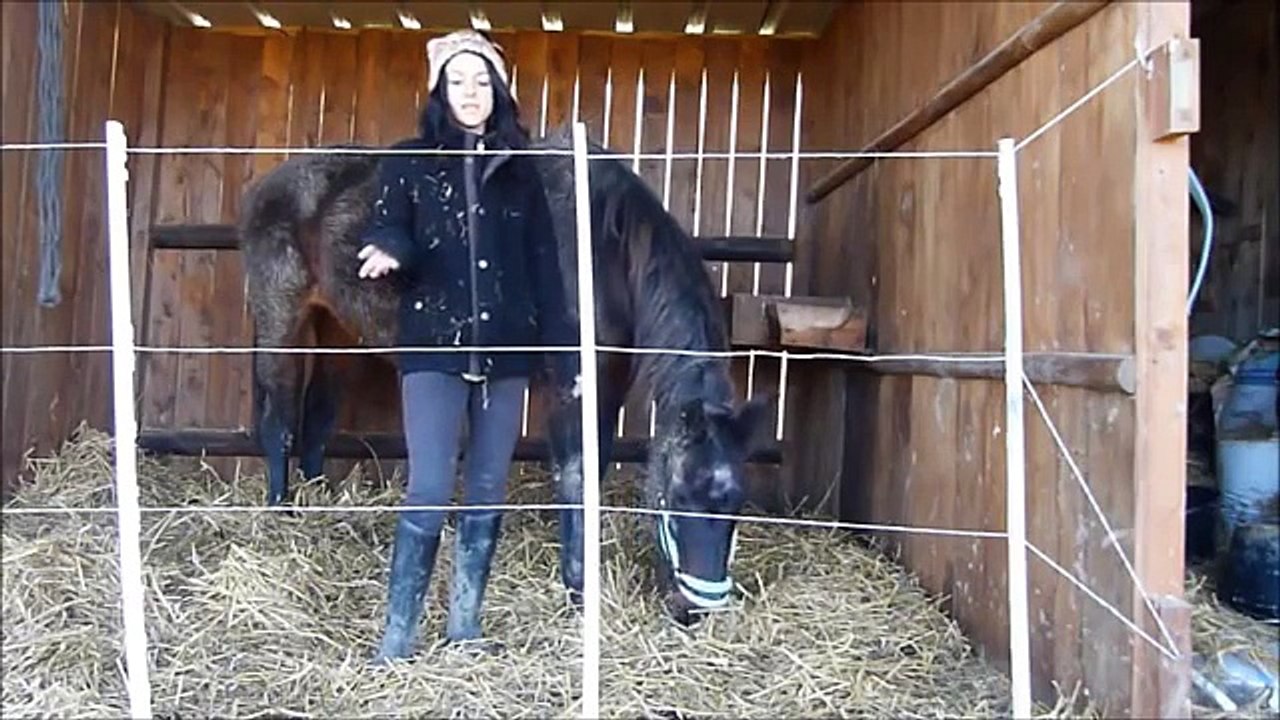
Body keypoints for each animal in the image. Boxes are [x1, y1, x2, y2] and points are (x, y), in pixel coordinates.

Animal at [234, 123, 773, 623]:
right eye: (679, 495)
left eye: (736, 503)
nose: (694, 609)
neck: (599, 246)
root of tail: (271, 182)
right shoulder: (571, 385)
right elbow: (575, 476)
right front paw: (578, 589)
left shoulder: (608, 381)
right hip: (281, 319)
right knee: (279, 419)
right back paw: (281, 513)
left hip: (340, 332)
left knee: (317, 419)